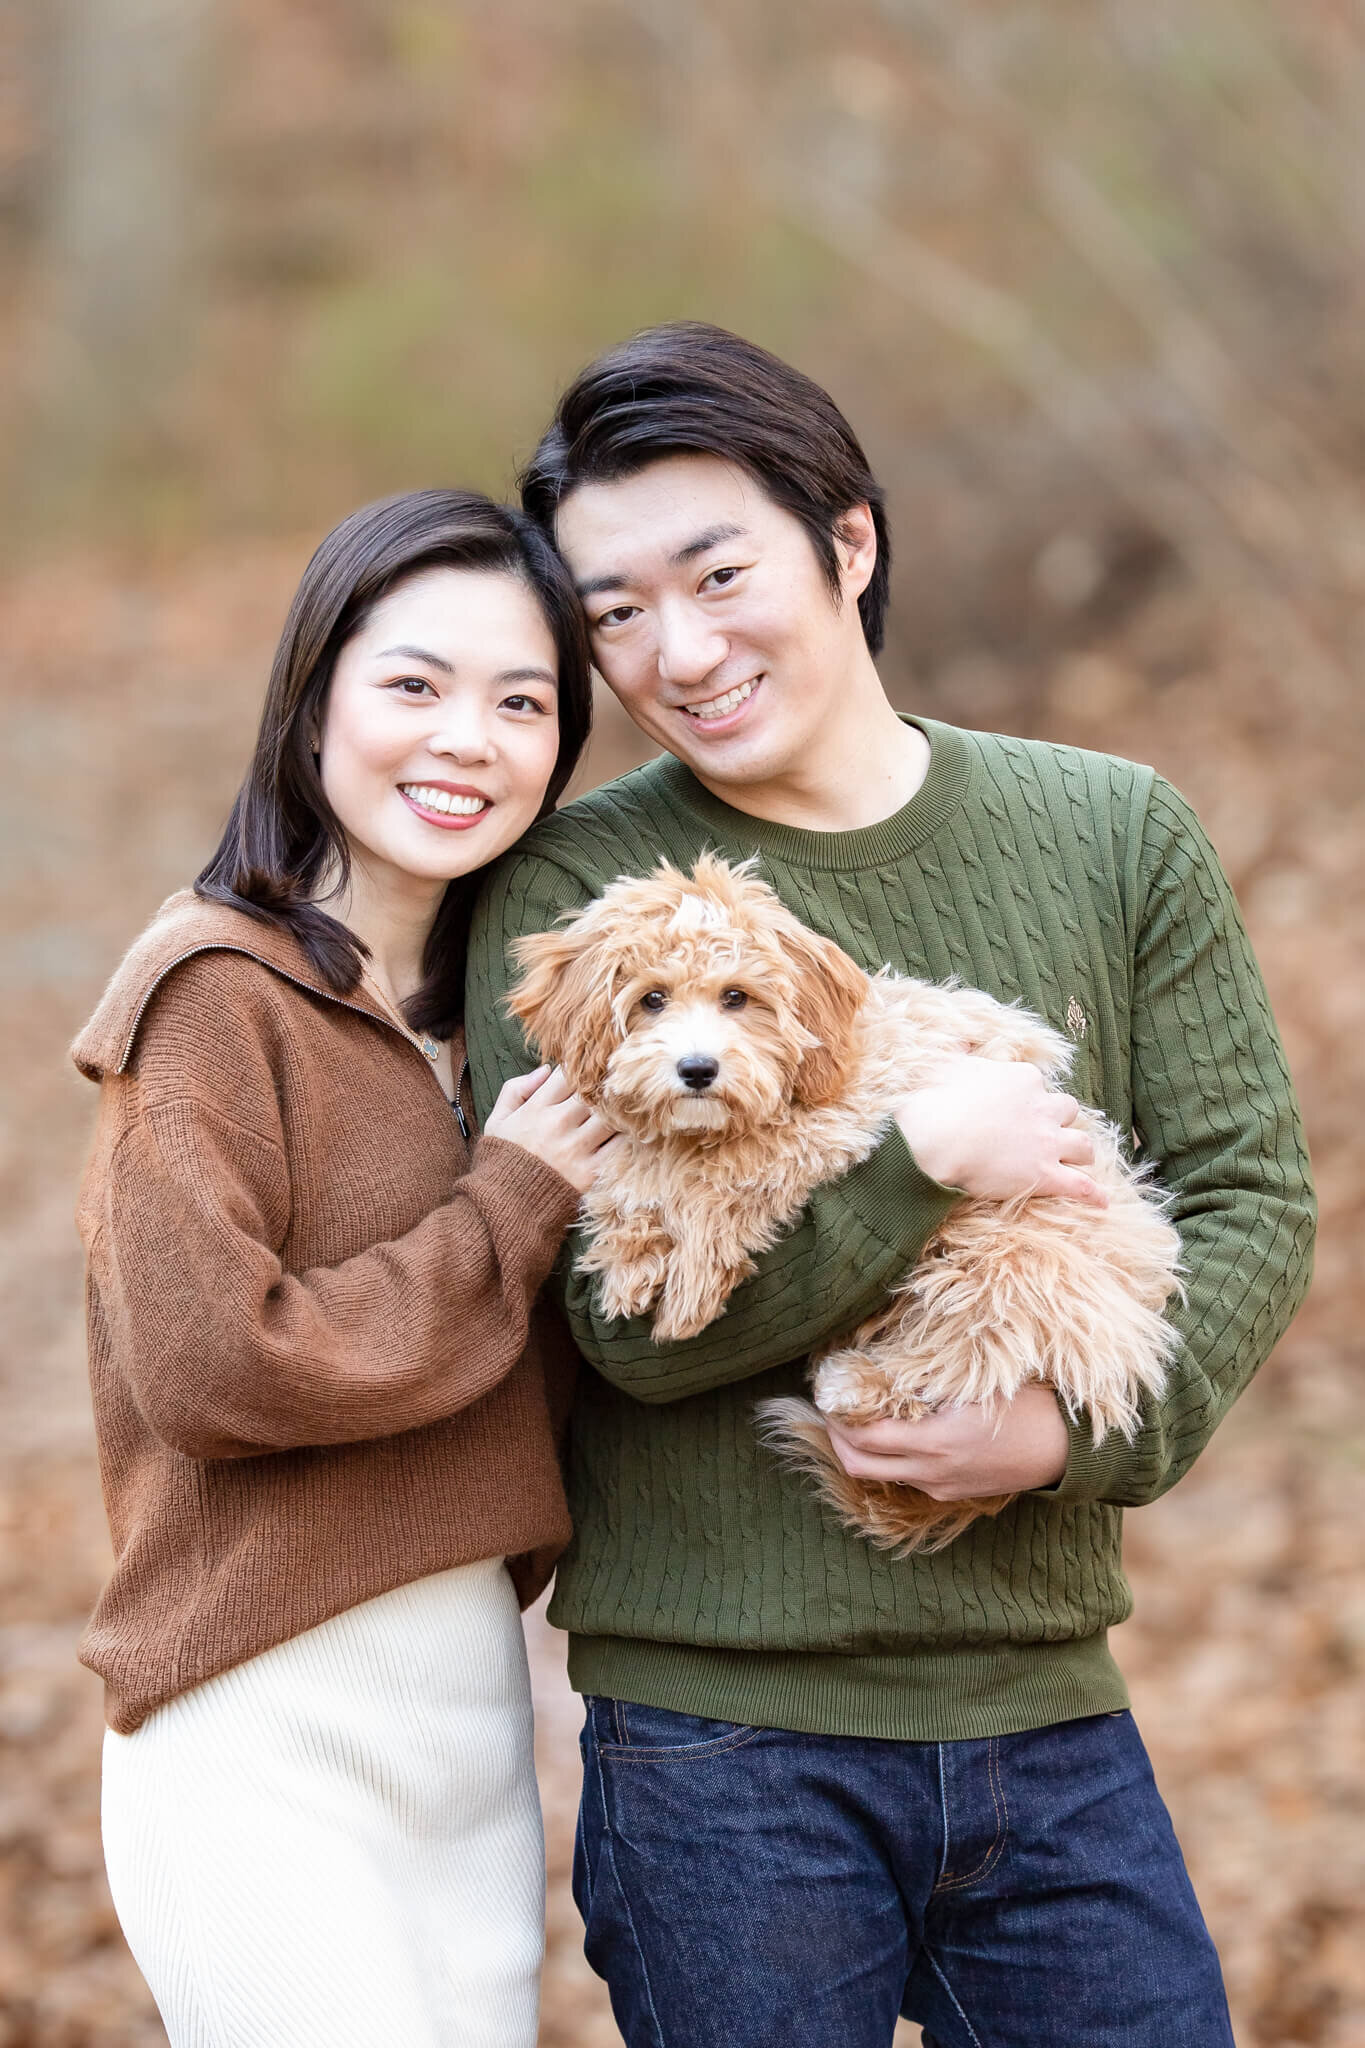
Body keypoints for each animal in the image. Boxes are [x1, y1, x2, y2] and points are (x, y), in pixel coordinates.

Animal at [507, 851, 1178, 1548]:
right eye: (652, 999)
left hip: (1008, 1253)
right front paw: (630, 1251)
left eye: (736, 996)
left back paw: (858, 1385)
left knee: (975, 1356)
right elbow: (639, 1166)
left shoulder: (848, 1117)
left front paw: (689, 1278)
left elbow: (725, 1171)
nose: (697, 1070)